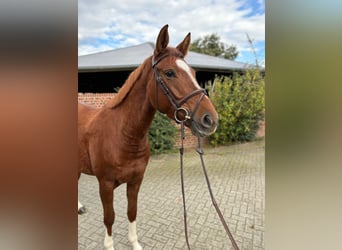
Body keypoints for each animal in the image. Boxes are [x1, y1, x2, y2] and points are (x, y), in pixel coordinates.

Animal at [78, 23, 218, 250]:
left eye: (193, 72)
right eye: (169, 73)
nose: (210, 120)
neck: (124, 135)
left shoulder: (136, 181)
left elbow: (132, 212)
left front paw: (134, 243)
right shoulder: (105, 184)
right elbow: (109, 217)